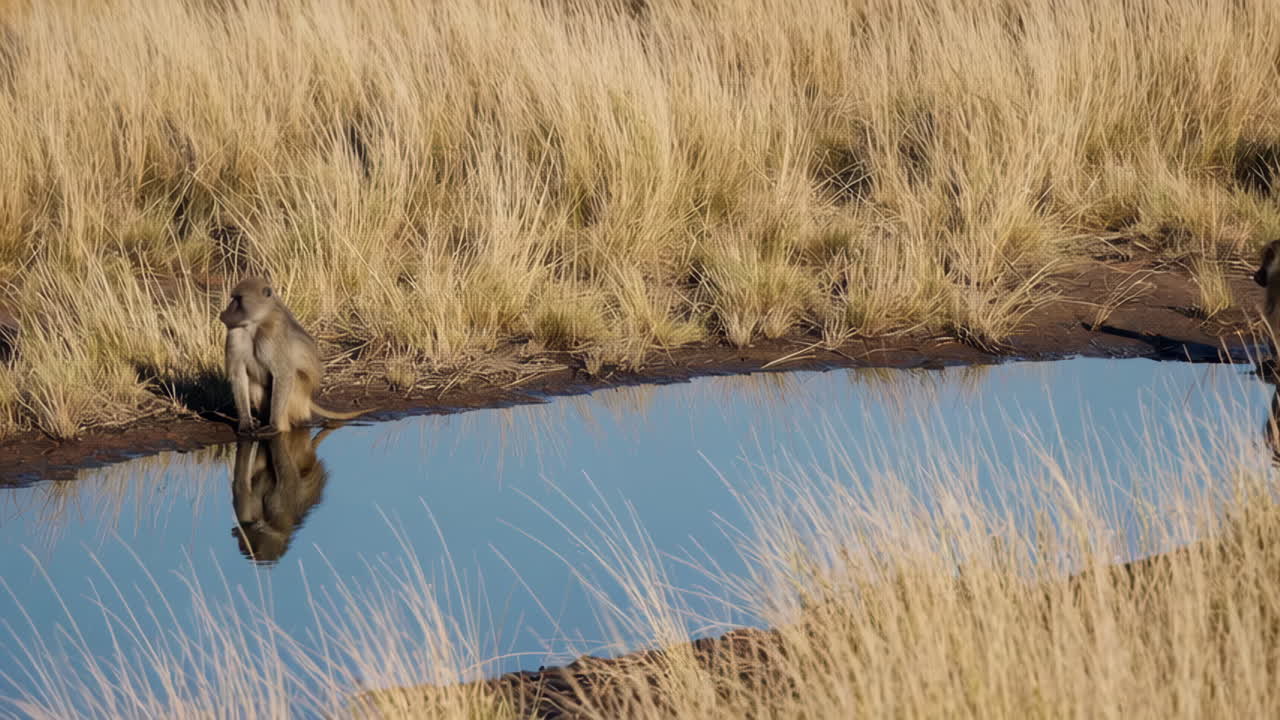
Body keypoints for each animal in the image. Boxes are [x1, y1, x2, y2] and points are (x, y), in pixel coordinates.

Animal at [219, 277, 369, 435]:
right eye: (233, 298)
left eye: (238, 299)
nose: (225, 313)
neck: (256, 324)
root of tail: (308, 398)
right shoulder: (235, 332)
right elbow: (238, 375)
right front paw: (246, 423)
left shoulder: (272, 333)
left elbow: (283, 374)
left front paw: (273, 425)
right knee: (254, 382)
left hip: (301, 393)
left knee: (293, 378)